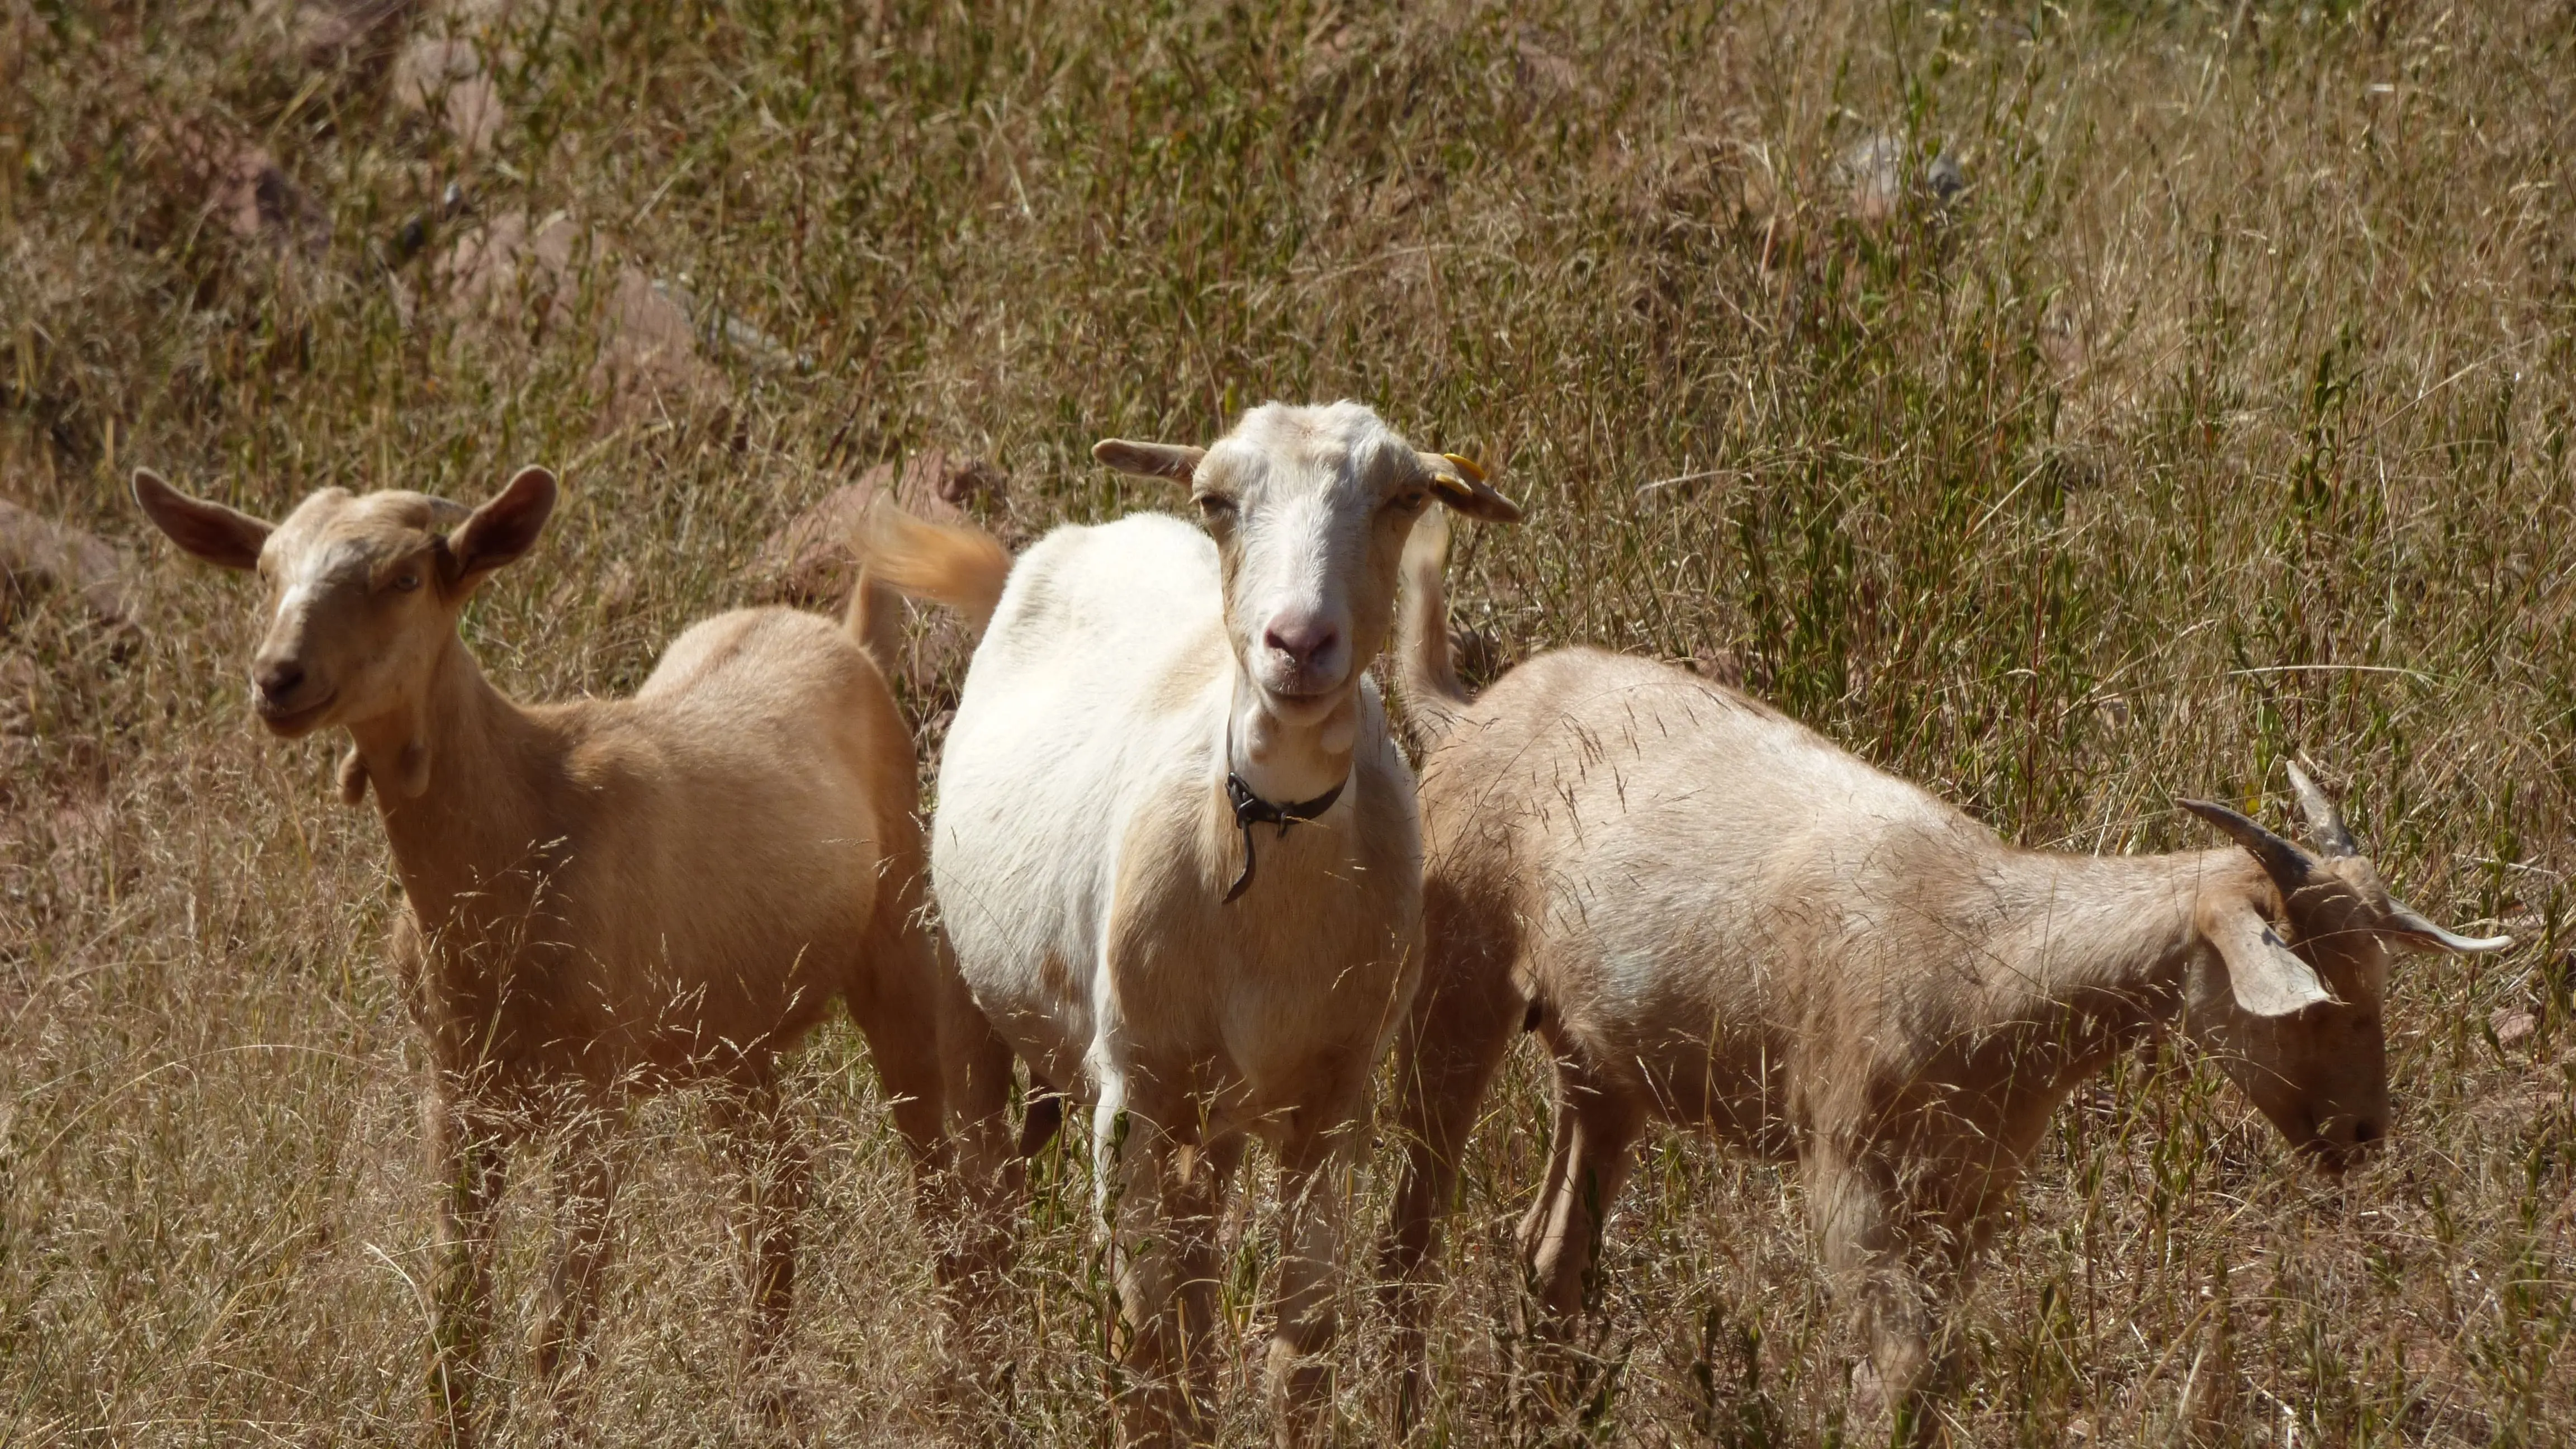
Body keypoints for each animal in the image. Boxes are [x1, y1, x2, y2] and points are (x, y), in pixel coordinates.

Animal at [132, 465, 1012, 1442]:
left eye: (405, 577)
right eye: (266, 571)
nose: (278, 679)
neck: (518, 833)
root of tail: (848, 638)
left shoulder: (594, 1093)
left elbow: (561, 1328)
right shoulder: (457, 1090)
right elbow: (456, 1313)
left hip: (899, 941)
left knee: (939, 1180)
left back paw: (965, 1387)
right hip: (732, 1031)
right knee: (778, 1187)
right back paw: (767, 1396)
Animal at [858, 402, 1520, 1446]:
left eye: (1404, 496)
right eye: (1216, 500)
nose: (1299, 642)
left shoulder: (1330, 1102)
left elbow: (1298, 1351)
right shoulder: (1131, 1089)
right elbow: (1140, 1349)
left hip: (1218, 1116)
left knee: (1197, 1286)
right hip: (972, 1006)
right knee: (985, 1223)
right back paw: (982, 1386)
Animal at [1378, 511, 2510, 1432]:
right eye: (2311, 999)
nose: (2362, 1133)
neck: (1979, 953)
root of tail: (1467, 712)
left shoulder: (1971, 1190)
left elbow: (1931, 1366)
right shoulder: (1847, 1173)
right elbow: (1896, 1369)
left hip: (1600, 1060)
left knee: (1549, 1253)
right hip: (1455, 982)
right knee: (1411, 1232)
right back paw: (1402, 1404)